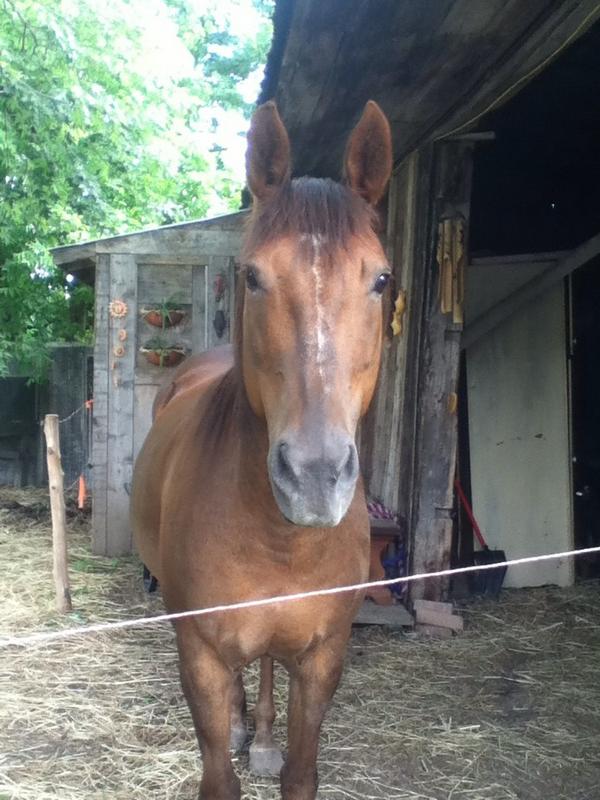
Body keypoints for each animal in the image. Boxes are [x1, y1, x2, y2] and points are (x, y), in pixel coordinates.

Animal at [130, 98, 393, 800]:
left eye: (382, 280)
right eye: (252, 276)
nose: (315, 477)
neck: (282, 542)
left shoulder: (324, 657)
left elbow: (301, 773)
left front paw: (277, 748)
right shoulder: (200, 654)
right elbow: (218, 773)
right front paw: (235, 733)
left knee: (270, 666)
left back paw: (265, 737)